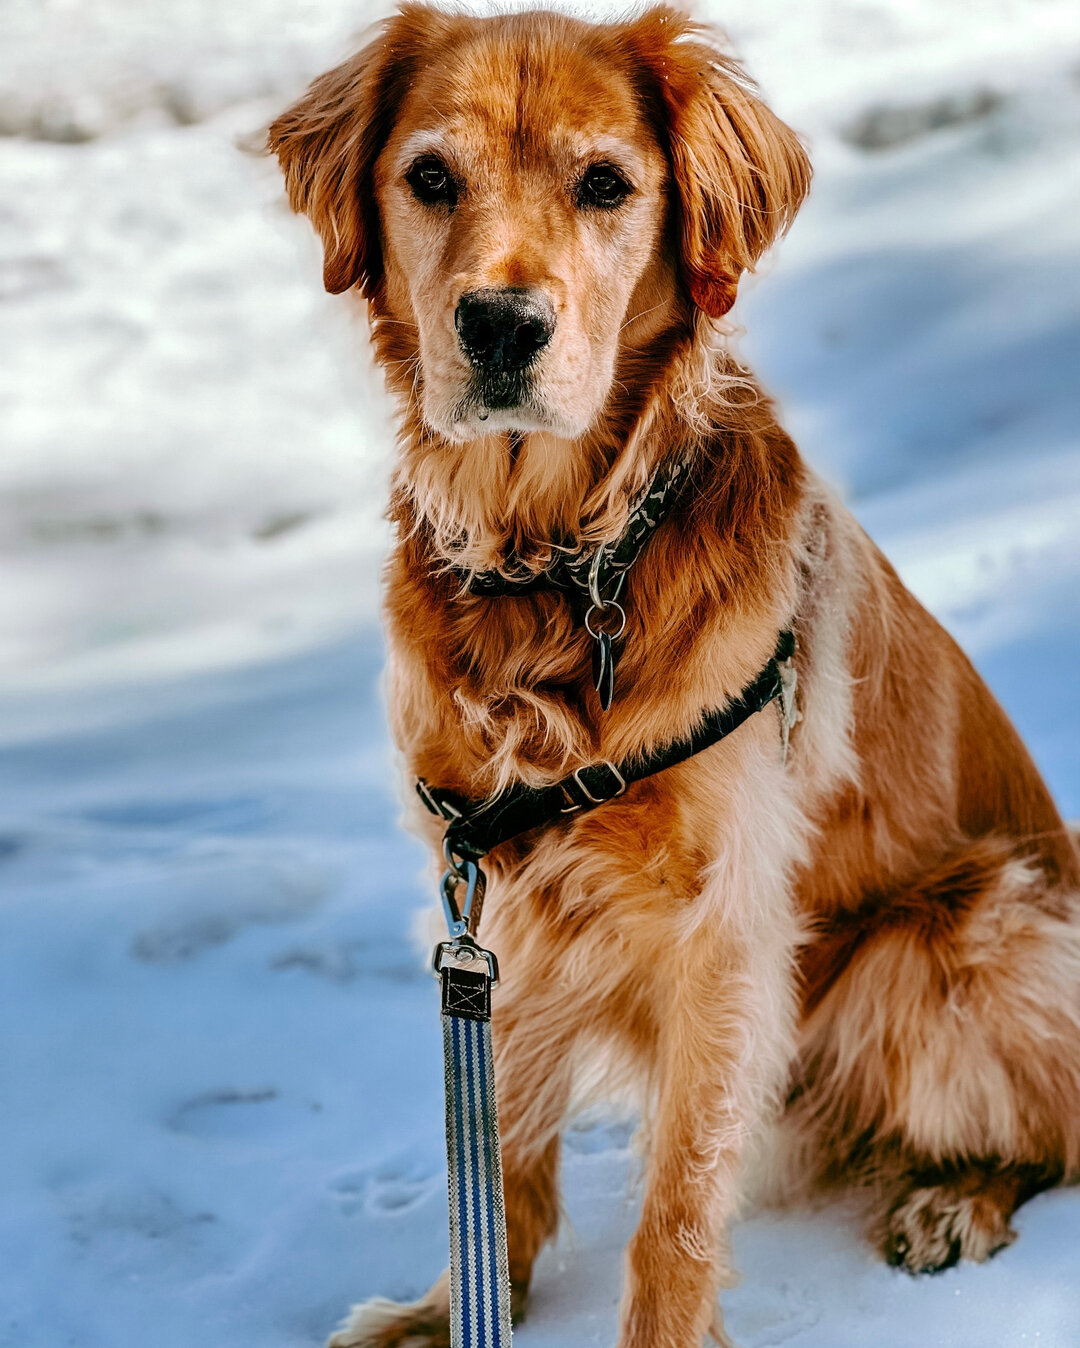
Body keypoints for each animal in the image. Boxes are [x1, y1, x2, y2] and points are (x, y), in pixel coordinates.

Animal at [266, 5, 1078, 1342]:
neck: (560, 567)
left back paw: (951, 1201)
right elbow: (498, 1137)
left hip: (955, 936)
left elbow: (678, 1210)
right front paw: (460, 1304)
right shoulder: (497, 899)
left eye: (607, 184)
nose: (501, 325)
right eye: (429, 177)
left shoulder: (724, 926)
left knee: (1046, 1128)